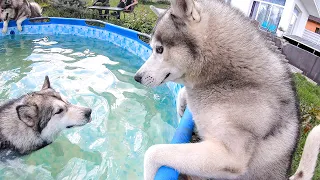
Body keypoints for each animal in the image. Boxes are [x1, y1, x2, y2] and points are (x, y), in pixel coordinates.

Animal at [134, 0, 320, 180]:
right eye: (152, 48)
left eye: (159, 49)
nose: (137, 77)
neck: (229, 77)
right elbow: (183, 93)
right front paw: (181, 107)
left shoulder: (229, 157)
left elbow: (152, 152)